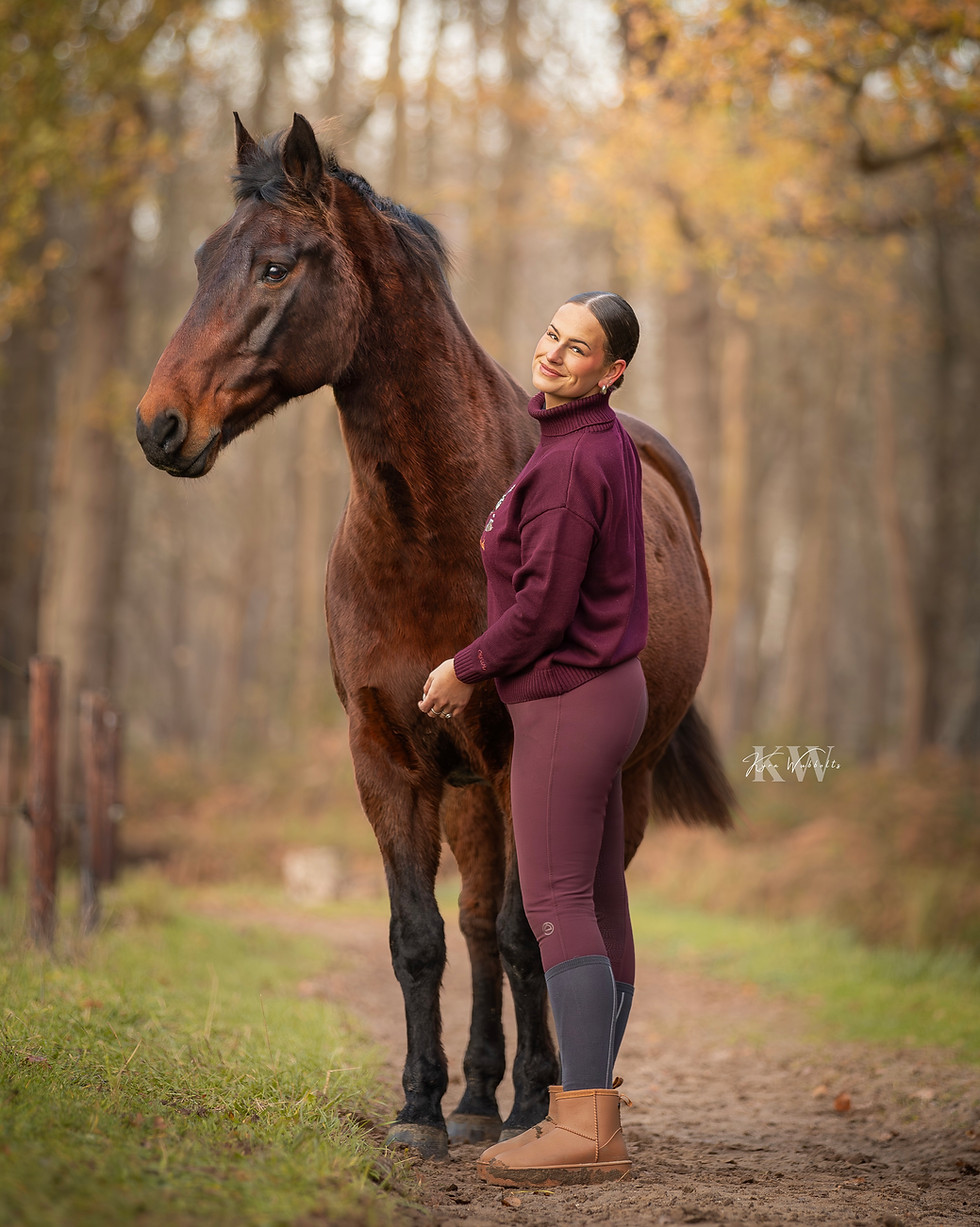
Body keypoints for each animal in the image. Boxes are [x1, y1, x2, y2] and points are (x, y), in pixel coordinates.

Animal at [136, 113, 734, 1160]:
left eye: (276, 267)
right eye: (207, 257)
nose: (158, 424)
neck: (435, 532)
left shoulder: (521, 757)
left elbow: (535, 933)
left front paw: (536, 1106)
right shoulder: (386, 757)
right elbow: (419, 937)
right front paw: (422, 1107)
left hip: (617, 781)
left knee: (580, 917)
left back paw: (563, 1087)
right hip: (466, 792)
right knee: (476, 920)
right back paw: (477, 1095)